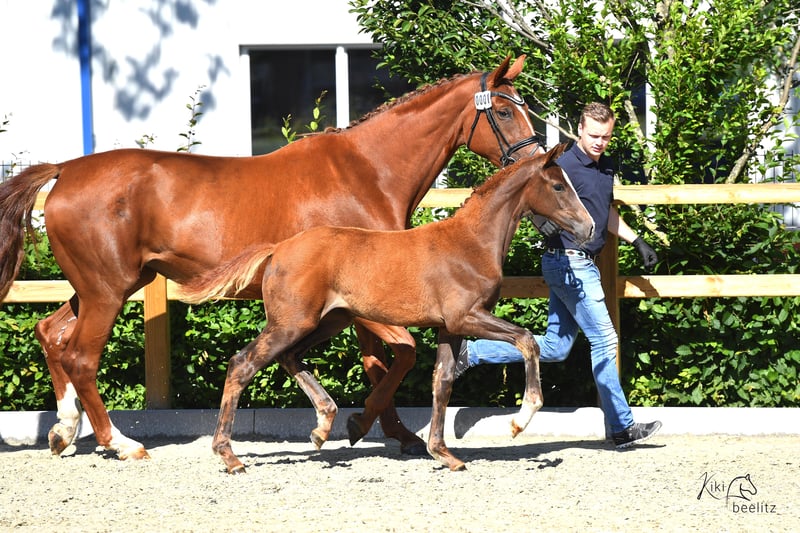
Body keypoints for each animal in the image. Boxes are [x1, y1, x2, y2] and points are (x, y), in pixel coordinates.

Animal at [0, 56, 542, 461]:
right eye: (505, 112)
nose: (536, 159)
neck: (368, 172)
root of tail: (65, 170)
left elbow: (380, 360)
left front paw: (384, 430)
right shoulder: (364, 298)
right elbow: (400, 353)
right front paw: (357, 423)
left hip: (99, 288)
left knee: (50, 333)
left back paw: (63, 431)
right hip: (108, 291)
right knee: (82, 356)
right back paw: (122, 442)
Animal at [180, 144, 596, 472]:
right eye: (558, 185)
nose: (589, 228)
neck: (471, 242)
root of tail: (278, 248)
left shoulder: (450, 327)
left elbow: (442, 382)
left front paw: (443, 453)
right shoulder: (467, 317)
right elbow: (527, 340)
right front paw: (519, 421)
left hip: (326, 322)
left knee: (288, 358)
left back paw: (323, 426)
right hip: (292, 323)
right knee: (243, 364)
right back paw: (231, 456)